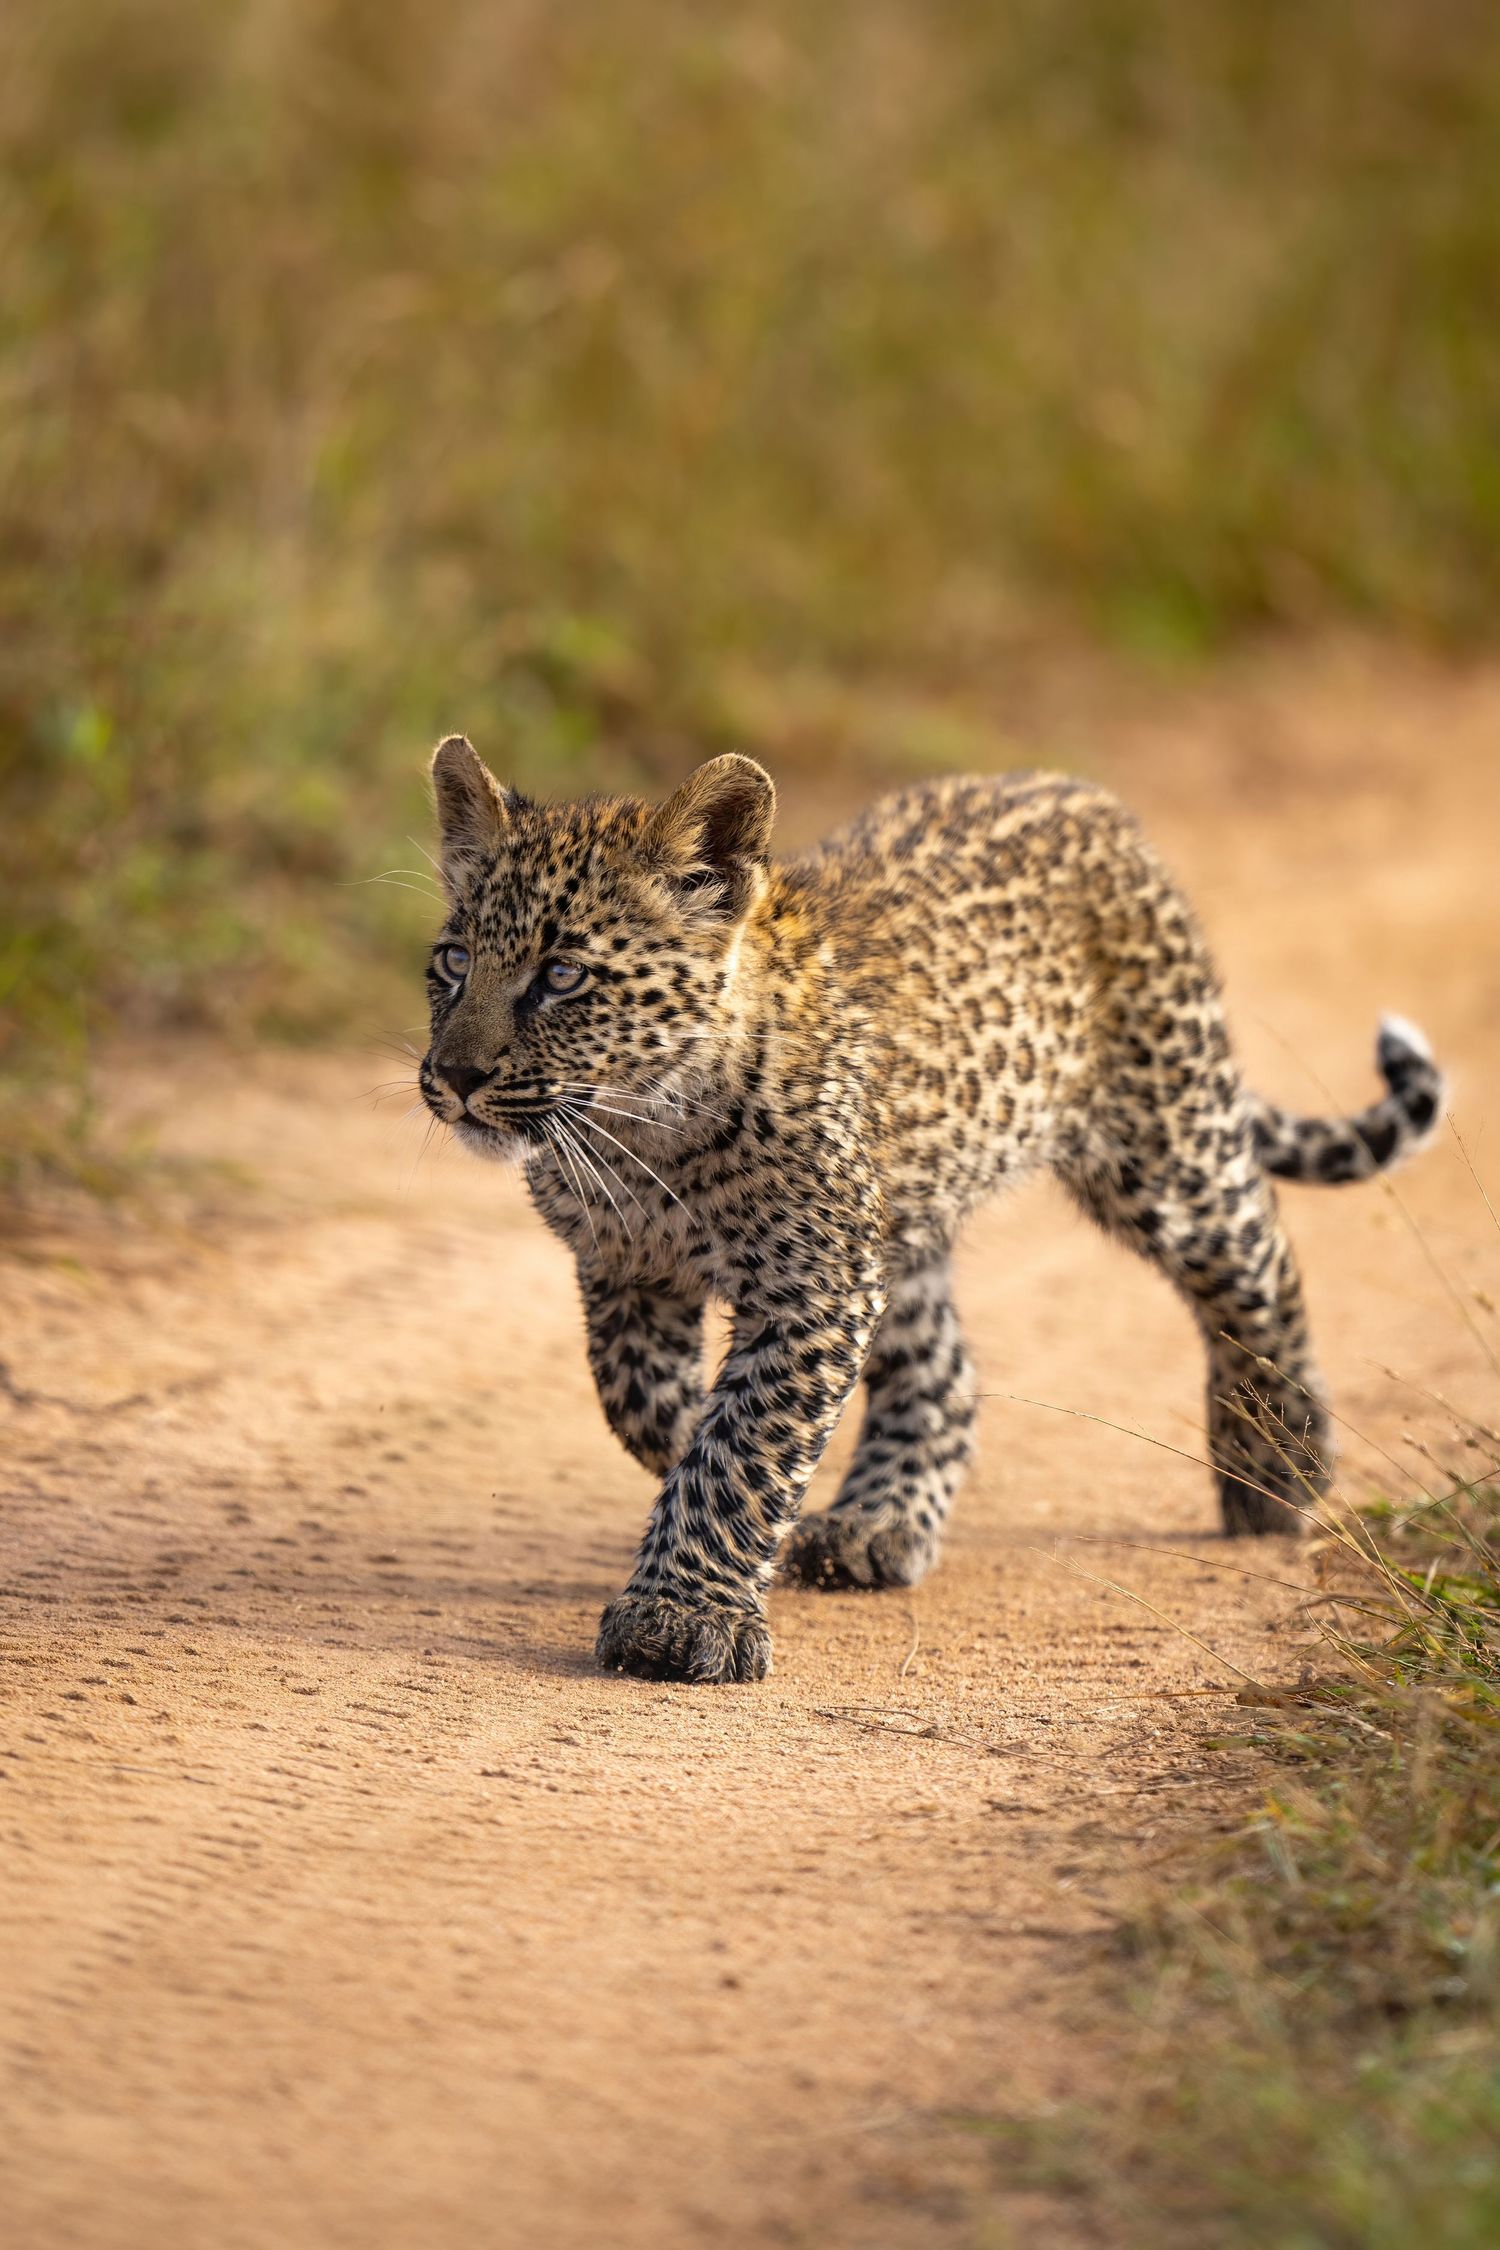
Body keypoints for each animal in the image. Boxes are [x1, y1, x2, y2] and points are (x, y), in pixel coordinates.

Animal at [417, 735, 1445, 1684]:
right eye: (454, 963)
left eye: (563, 976)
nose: (455, 1078)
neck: (638, 1138)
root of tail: (1086, 796)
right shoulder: (629, 1273)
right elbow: (654, 1411)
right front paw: (761, 1535)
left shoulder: (816, 1283)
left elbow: (742, 1444)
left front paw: (682, 1615)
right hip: (907, 1223)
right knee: (944, 1371)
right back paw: (875, 1524)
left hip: (1168, 1145)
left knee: (1258, 1259)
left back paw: (1276, 1464)